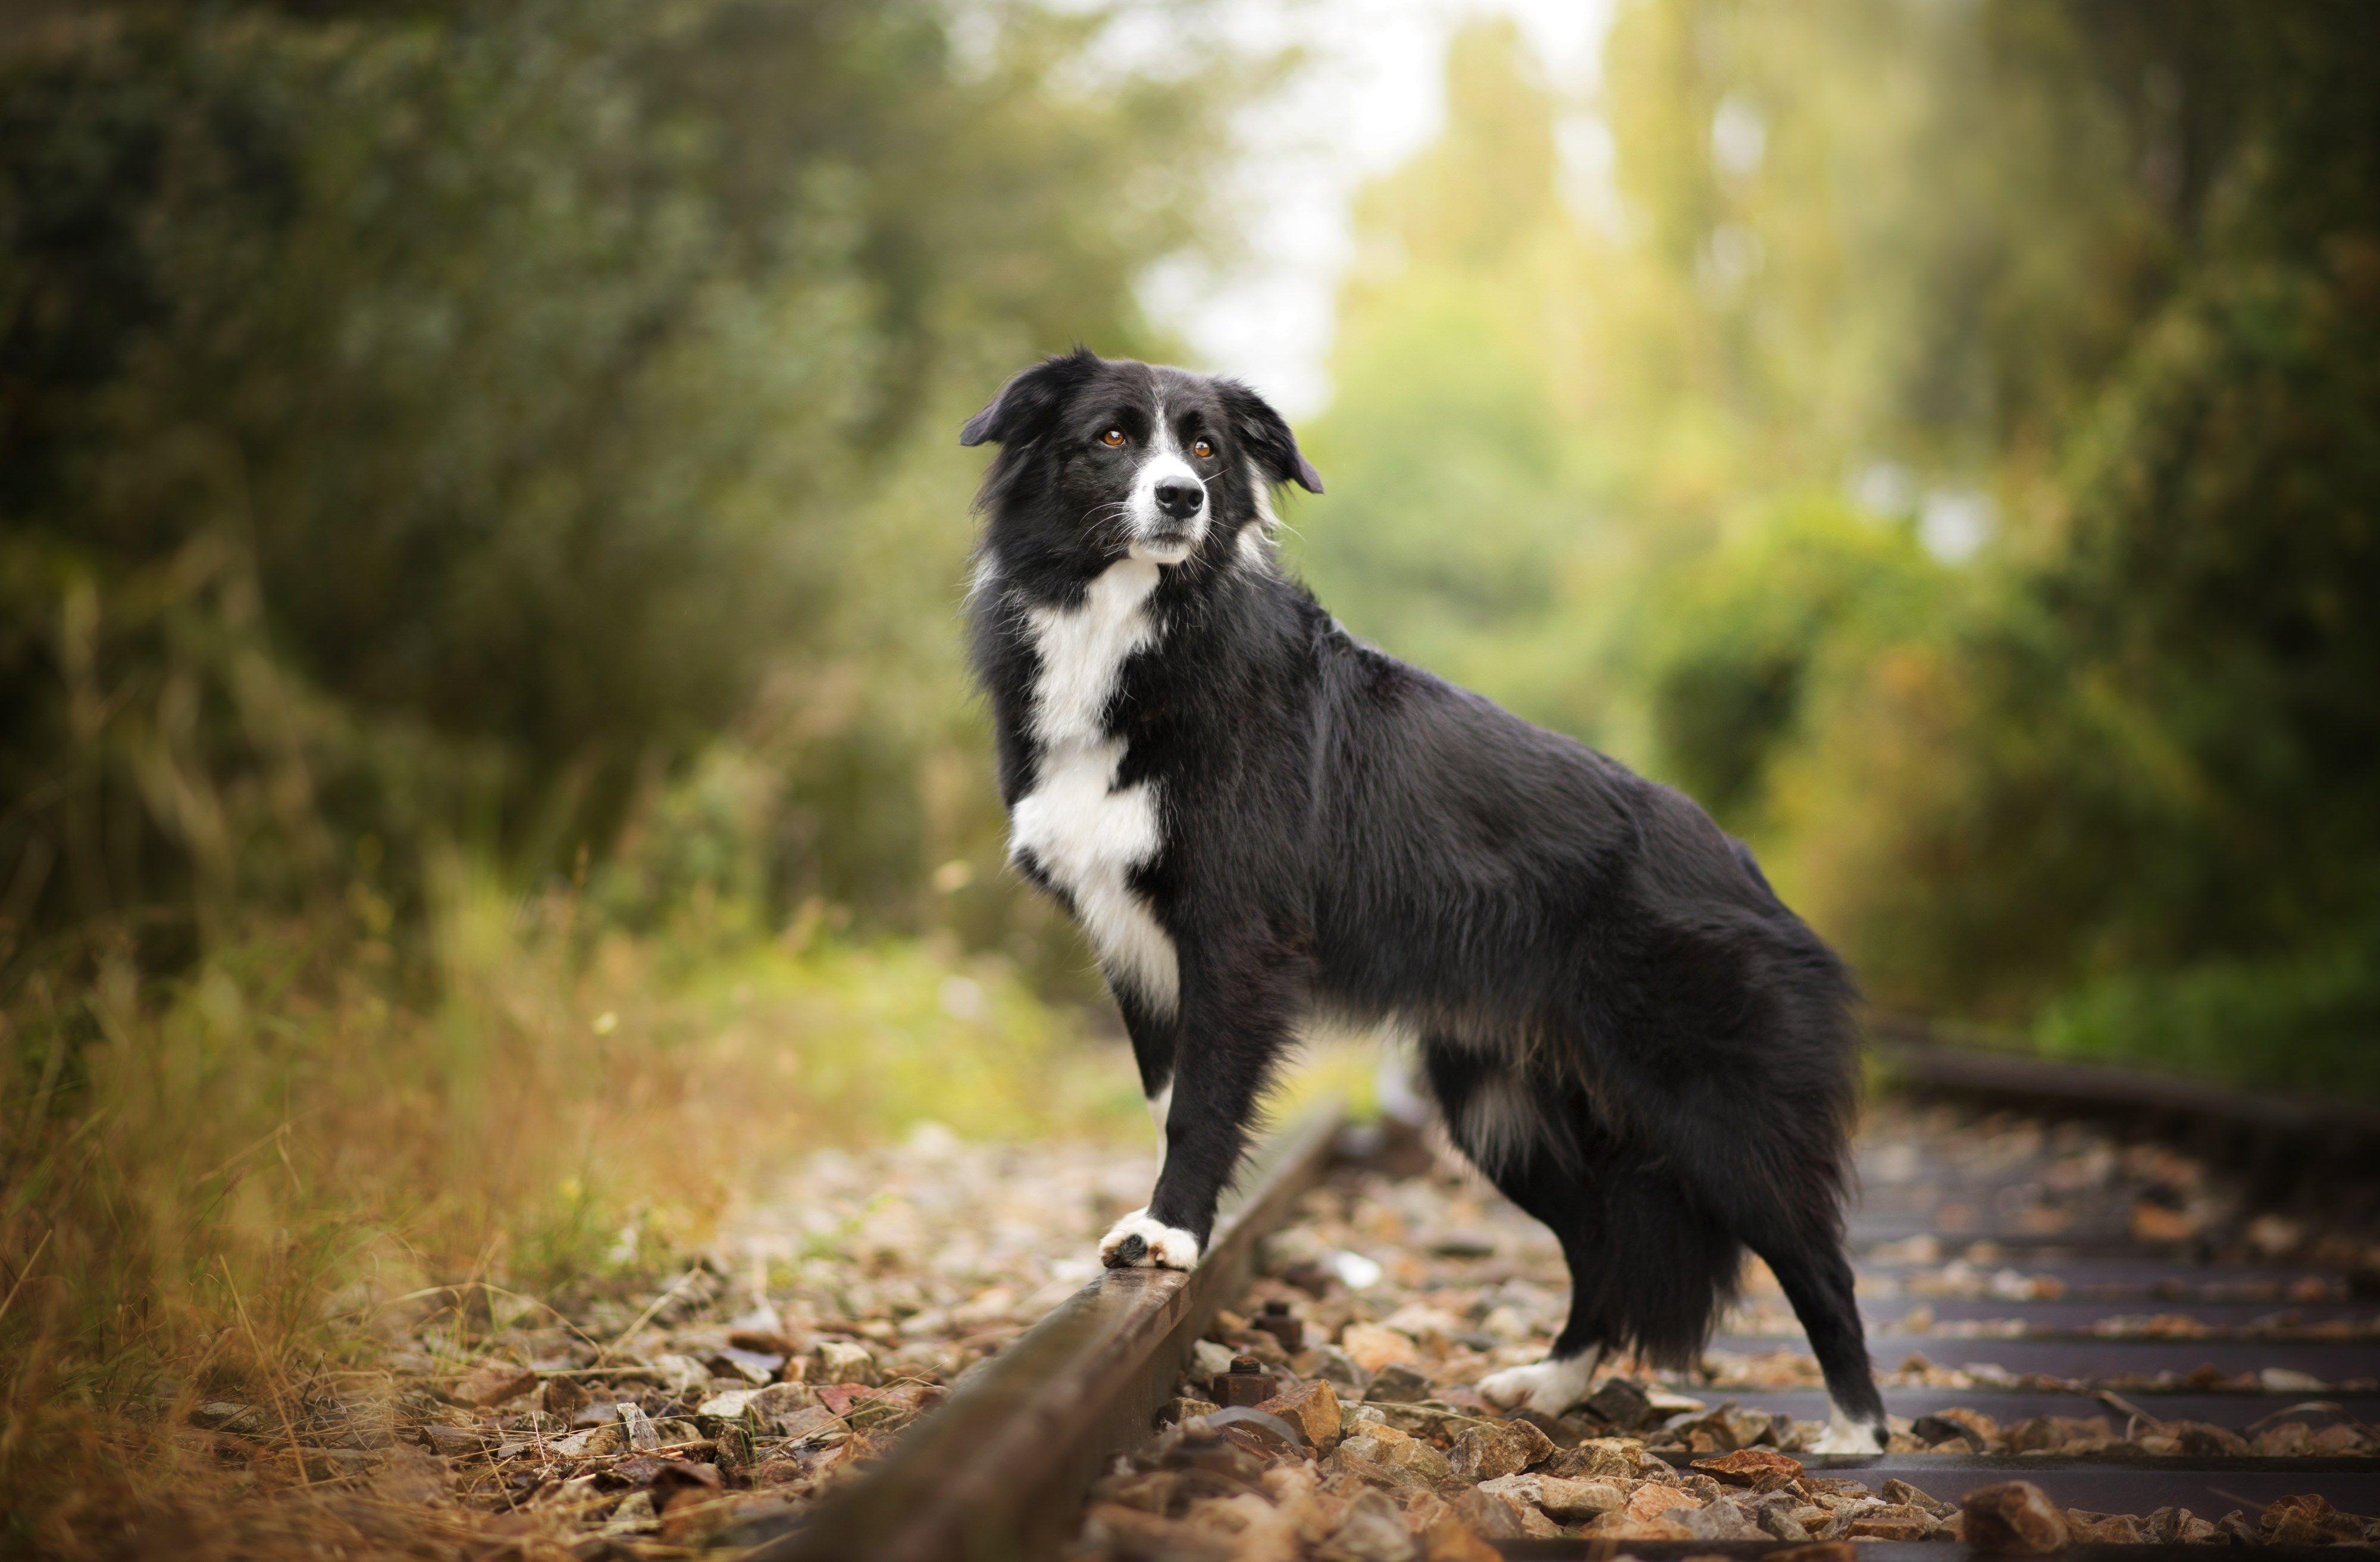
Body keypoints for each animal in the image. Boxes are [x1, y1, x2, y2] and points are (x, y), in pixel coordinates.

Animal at [957, 347, 1885, 1447]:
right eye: (1109, 437)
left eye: (1206, 449)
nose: (1182, 500)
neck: (1132, 624)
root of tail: (1747, 869)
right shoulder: (1134, 947)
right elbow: (1167, 1097)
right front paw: (1173, 1242)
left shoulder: (1236, 937)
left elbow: (1201, 1106)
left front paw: (1174, 1235)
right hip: (1502, 1110)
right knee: (1605, 1244)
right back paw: (1551, 1383)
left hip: (1711, 1105)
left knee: (1814, 1255)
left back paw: (1857, 1431)